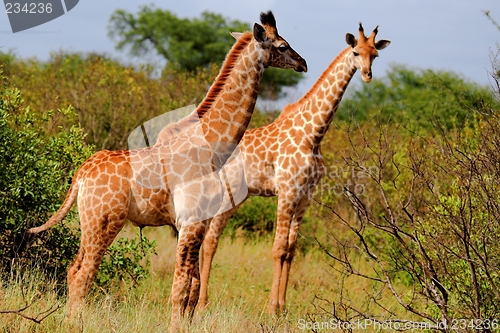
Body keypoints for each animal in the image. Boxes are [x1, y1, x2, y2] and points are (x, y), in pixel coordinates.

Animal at [21, 10, 306, 330]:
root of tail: (81, 175)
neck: (214, 144)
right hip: (105, 221)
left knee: (73, 270)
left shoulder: (197, 224)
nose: (303, 63)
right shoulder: (190, 222)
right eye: (282, 46)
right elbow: (179, 288)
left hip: (89, 222)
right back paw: (75, 324)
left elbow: (192, 288)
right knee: (84, 275)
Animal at [199, 23, 390, 312]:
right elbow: (278, 248)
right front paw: (271, 308)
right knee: (210, 239)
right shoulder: (287, 191)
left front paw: (282, 307)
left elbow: (290, 250)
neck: (314, 134)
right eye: (356, 52)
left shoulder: (305, 195)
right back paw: (202, 303)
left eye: (375, 55)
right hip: (227, 194)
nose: (367, 75)